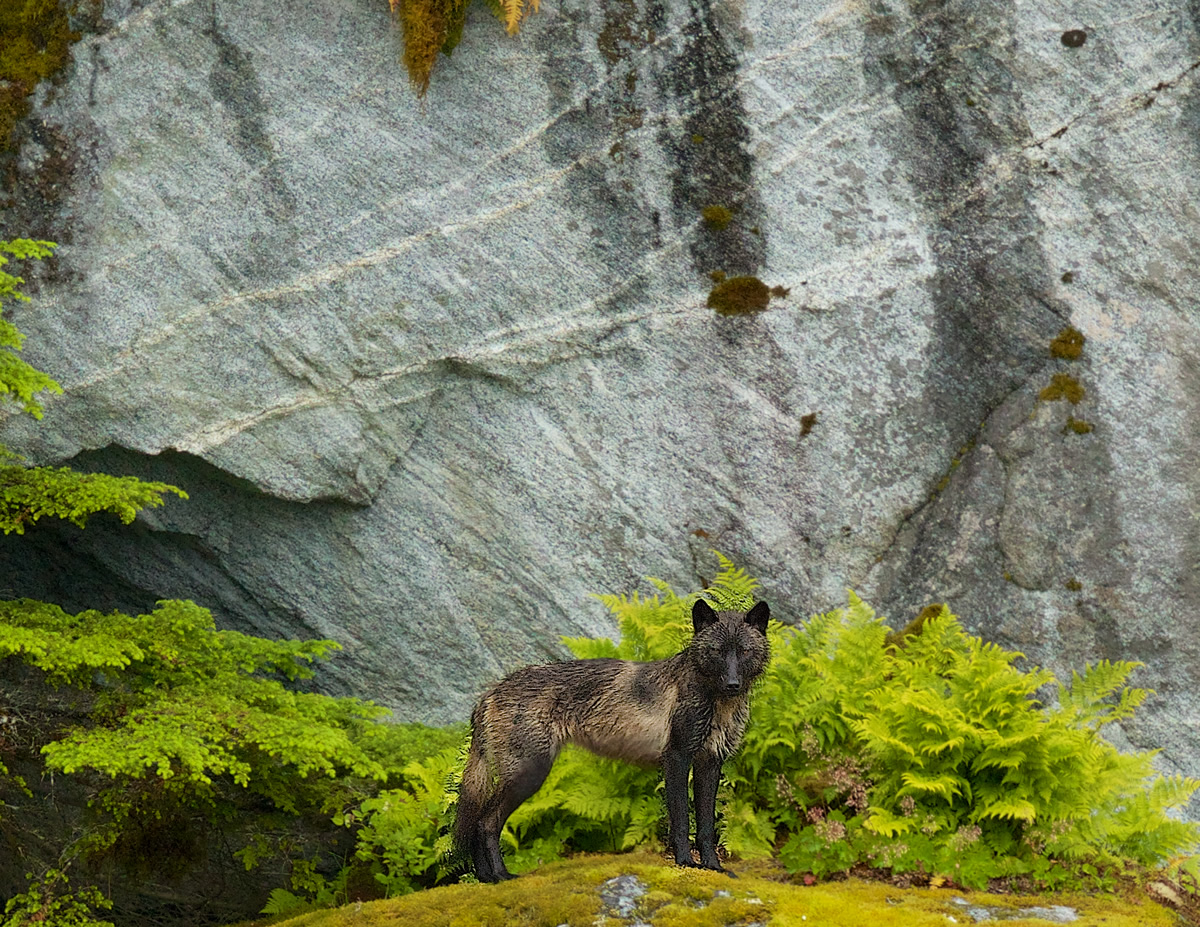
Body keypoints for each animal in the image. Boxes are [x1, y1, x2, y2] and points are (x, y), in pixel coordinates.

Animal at [453, 597, 772, 878]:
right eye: (717, 651)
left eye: (744, 651)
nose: (732, 684)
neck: (717, 703)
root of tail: (488, 694)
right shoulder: (677, 759)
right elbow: (682, 822)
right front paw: (685, 864)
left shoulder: (710, 763)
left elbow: (706, 827)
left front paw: (713, 868)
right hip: (528, 775)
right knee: (484, 823)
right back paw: (502, 876)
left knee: (477, 823)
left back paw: (486, 879)